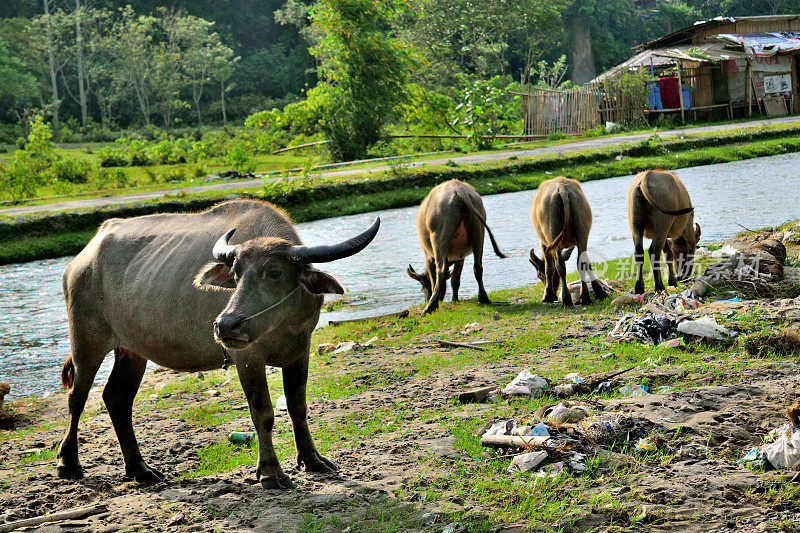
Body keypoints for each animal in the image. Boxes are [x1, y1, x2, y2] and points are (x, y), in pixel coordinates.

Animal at [57, 197, 382, 488]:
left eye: (275, 272)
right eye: (236, 273)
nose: (226, 324)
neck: (280, 326)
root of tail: (80, 261)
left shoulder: (300, 351)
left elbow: (298, 408)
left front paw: (313, 460)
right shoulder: (248, 358)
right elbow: (262, 413)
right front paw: (270, 472)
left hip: (132, 351)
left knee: (117, 398)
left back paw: (141, 470)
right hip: (86, 341)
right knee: (77, 397)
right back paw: (68, 464)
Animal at [406, 180, 506, 312]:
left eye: (422, 288)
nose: (426, 299)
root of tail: (459, 191)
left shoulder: (428, 256)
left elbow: (434, 279)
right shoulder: (460, 256)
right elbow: (455, 279)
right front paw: (455, 299)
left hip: (439, 238)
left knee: (441, 270)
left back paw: (430, 306)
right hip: (478, 233)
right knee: (478, 267)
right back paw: (483, 298)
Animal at [528, 177, 608, 306]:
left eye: (539, 275)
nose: (555, 294)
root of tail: (562, 189)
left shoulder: (544, 243)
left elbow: (549, 267)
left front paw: (547, 295)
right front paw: (599, 291)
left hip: (552, 235)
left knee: (560, 266)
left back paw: (566, 299)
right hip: (582, 233)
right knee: (582, 262)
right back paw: (585, 297)